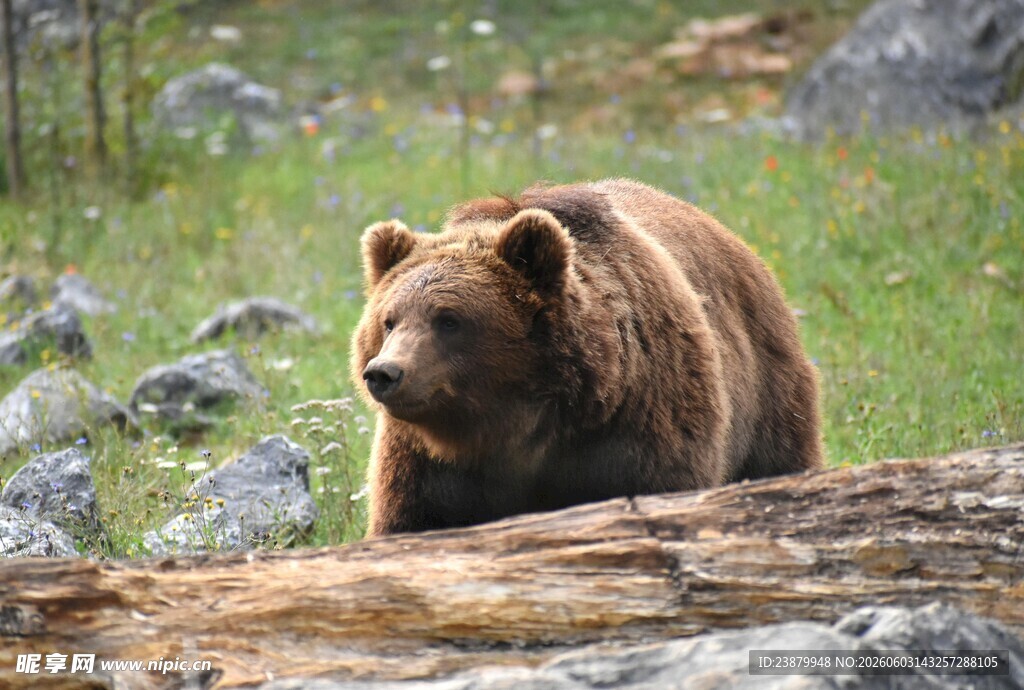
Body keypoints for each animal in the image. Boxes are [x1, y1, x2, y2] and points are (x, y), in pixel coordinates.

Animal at [352, 179, 822, 537]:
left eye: (449, 320)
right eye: (390, 320)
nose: (385, 373)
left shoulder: (638, 425)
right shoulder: (426, 465)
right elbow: (414, 521)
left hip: (765, 391)